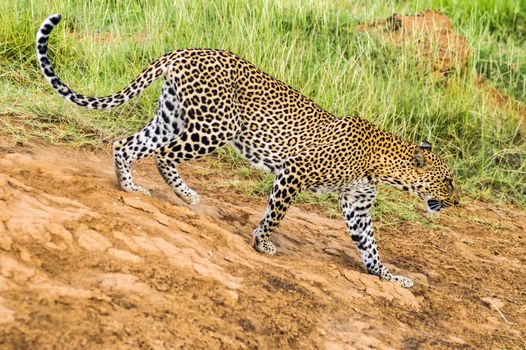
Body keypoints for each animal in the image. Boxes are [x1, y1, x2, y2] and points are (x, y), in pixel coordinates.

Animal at [37, 13, 462, 288]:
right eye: (448, 181)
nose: (458, 203)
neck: (382, 164)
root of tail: (184, 50)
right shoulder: (294, 173)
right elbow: (276, 213)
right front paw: (263, 243)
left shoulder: (356, 204)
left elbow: (370, 247)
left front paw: (390, 276)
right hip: (215, 126)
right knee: (162, 154)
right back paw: (177, 193)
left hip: (174, 116)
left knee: (127, 143)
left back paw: (135, 188)